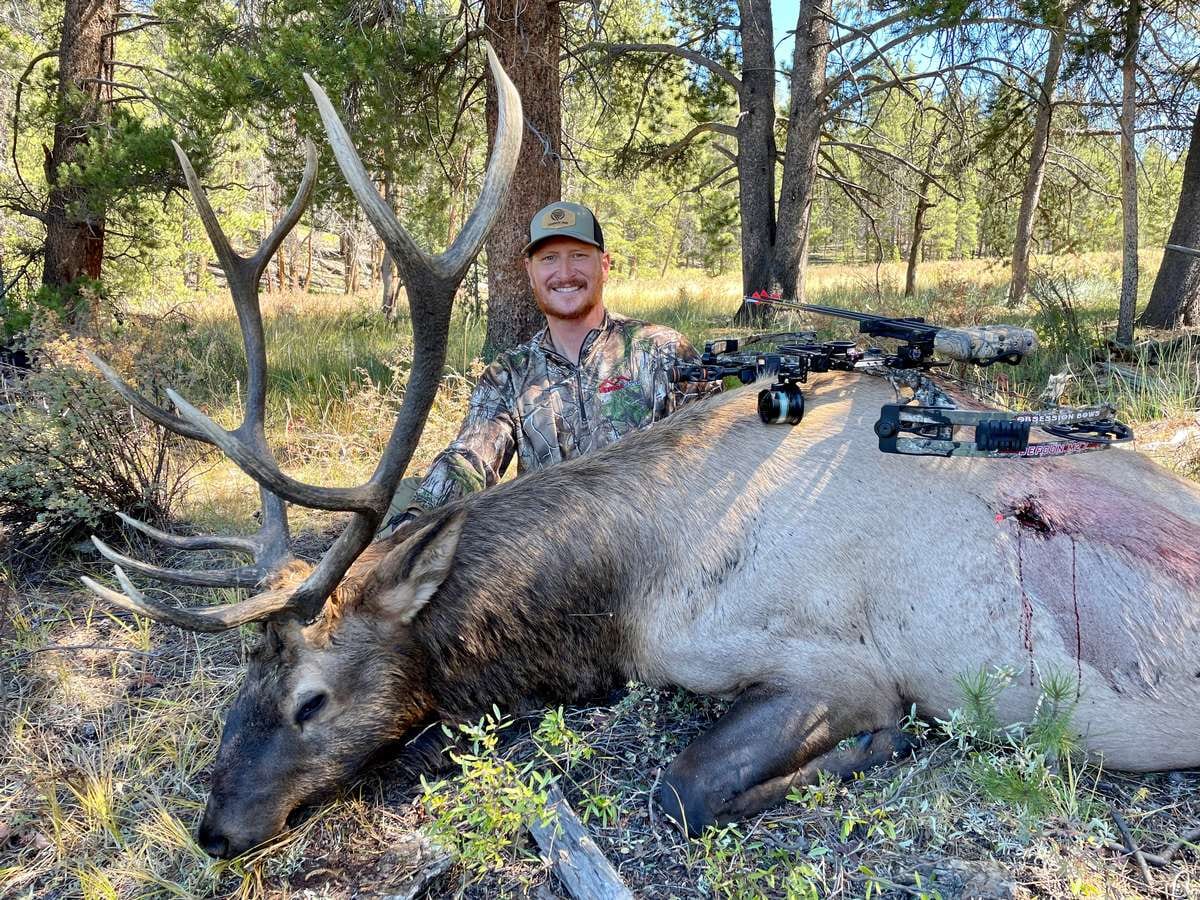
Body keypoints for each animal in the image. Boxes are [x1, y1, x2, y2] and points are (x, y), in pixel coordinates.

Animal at [81, 48, 1200, 860]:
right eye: (239, 689)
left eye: (311, 698)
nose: (214, 829)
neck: (618, 588)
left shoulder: (831, 660)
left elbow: (677, 790)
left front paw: (878, 748)